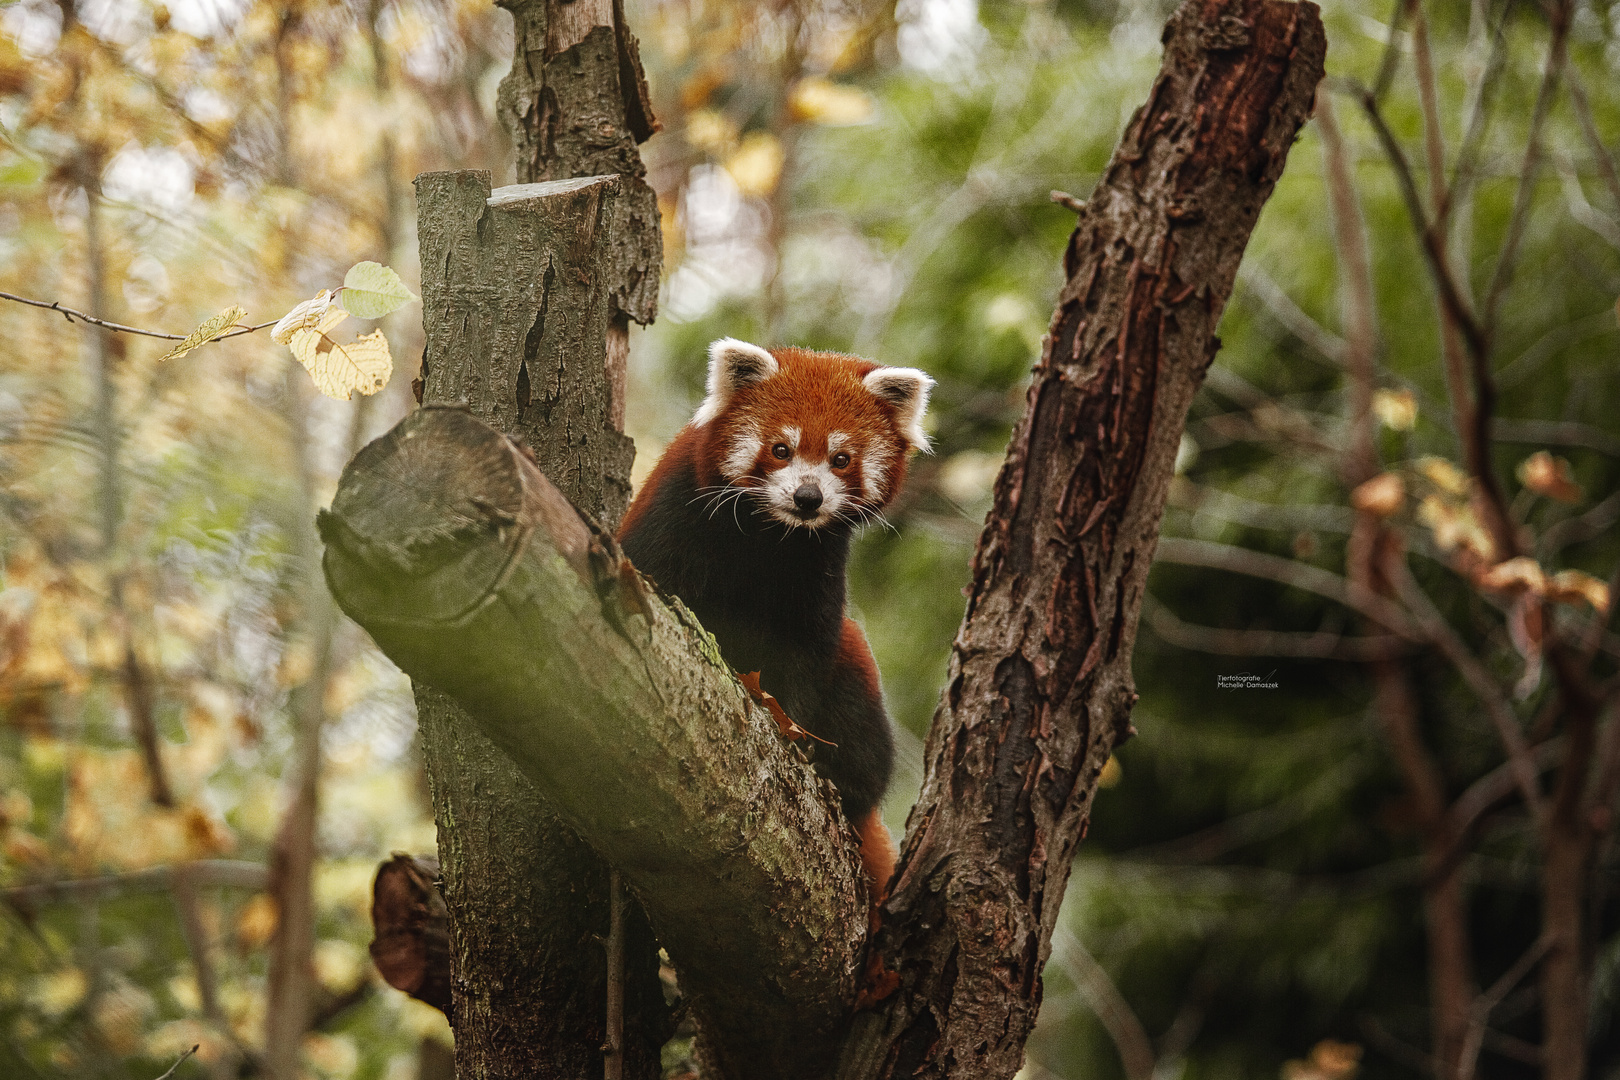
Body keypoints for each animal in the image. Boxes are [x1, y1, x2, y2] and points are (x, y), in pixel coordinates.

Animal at [612, 338, 933, 906]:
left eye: (841, 459)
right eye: (781, 449)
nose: (808, 497)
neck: (770, 537)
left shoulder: (816, 576)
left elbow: (802, 660)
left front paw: (795, 737)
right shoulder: (673, 522)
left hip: (855, 668)